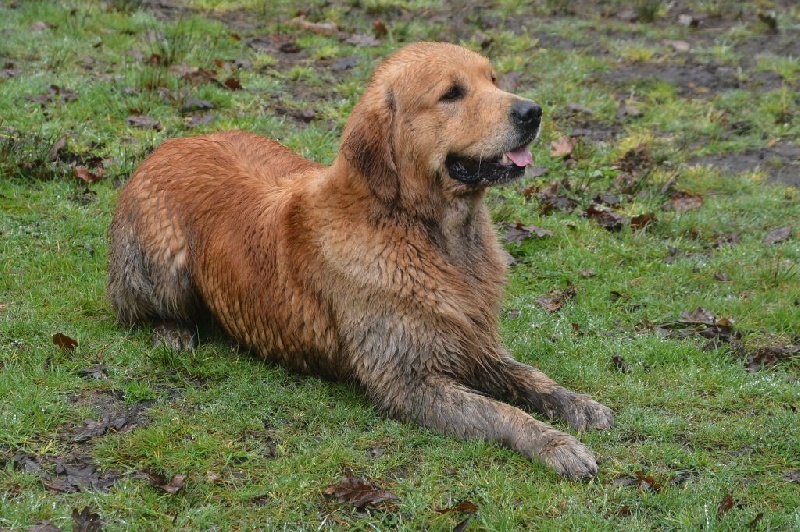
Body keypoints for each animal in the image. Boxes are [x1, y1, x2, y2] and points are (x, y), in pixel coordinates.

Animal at [108, 41, 612, 478]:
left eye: (492, 79)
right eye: (452, 93)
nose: (532, 111)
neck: (418, 230)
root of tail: (166, 145)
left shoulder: (476, 343)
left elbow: (531, 378)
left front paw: (579, 405)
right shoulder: (407, 380)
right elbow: (501, 413)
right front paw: (556, 444)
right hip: (165, 267)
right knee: (135, 309)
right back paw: (174, 334)